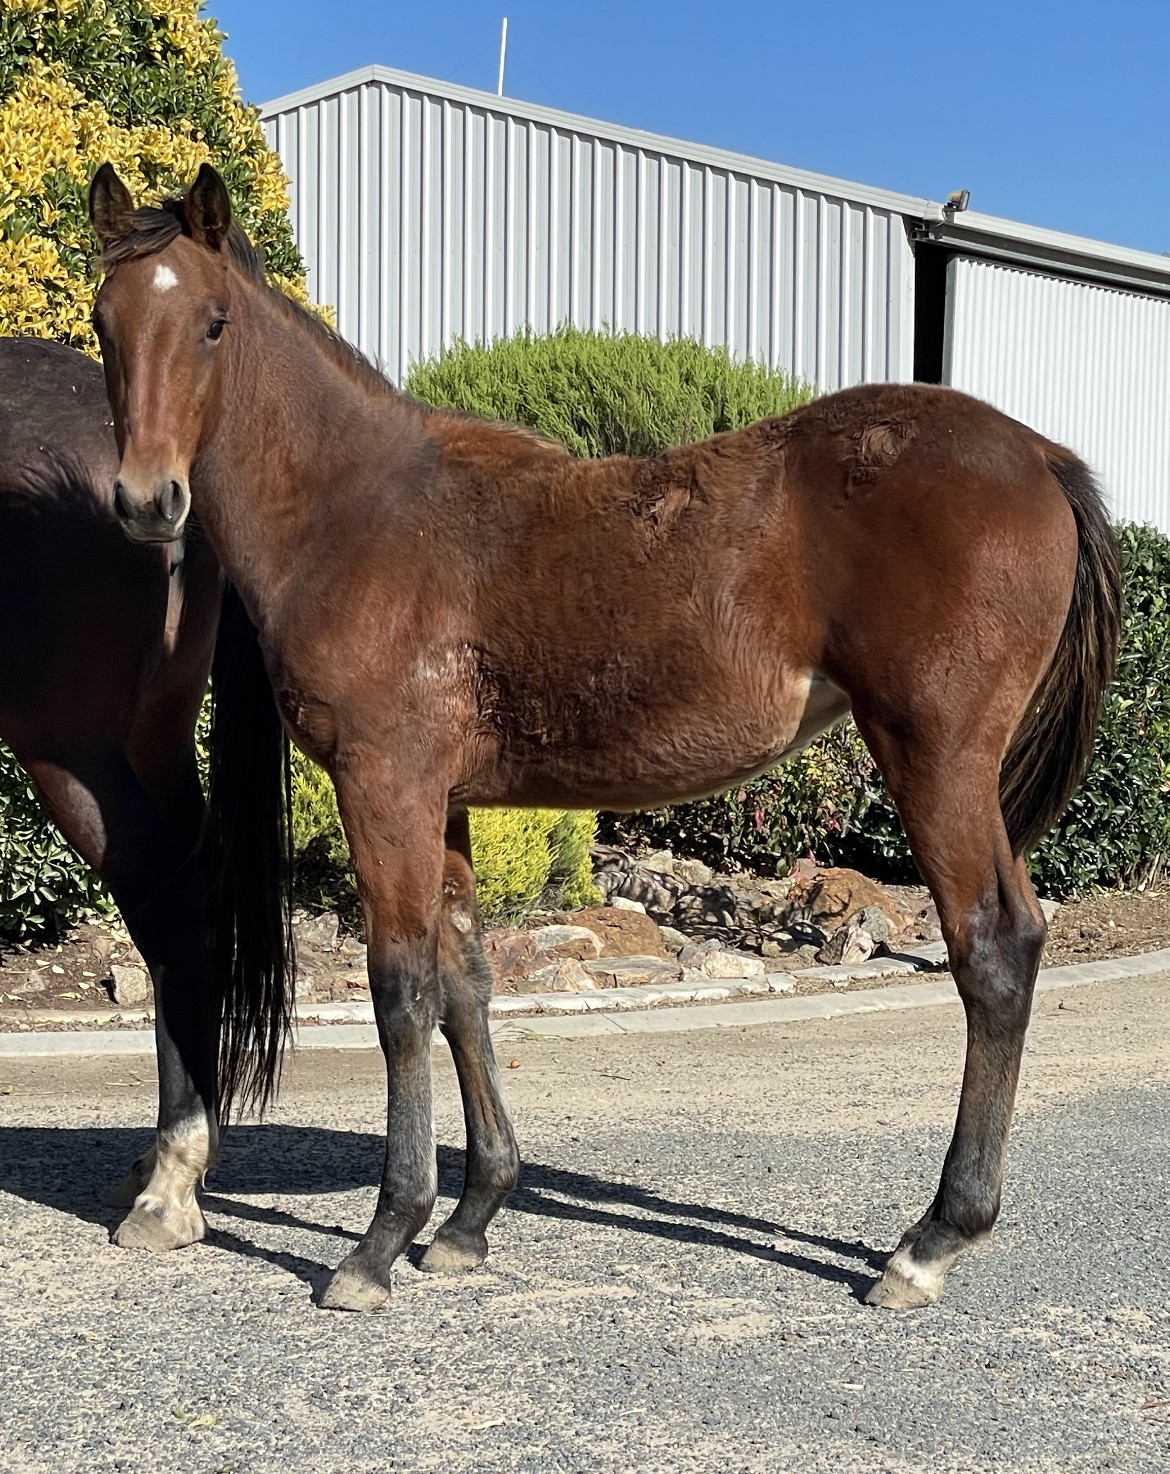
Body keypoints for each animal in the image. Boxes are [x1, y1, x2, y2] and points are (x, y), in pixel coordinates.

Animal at [87, 162, 1121, 1314]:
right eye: (103, 321)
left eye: (213, 324)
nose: (146, 500)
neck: (358, 514)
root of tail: (1038, 455)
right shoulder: (444, 801)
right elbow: (465, 982)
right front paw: (470, 1217)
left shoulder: (384, 783)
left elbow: (401, 991)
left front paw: (380, 1240)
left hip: (936, 755)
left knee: (995, 948)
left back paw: (930, 1240)